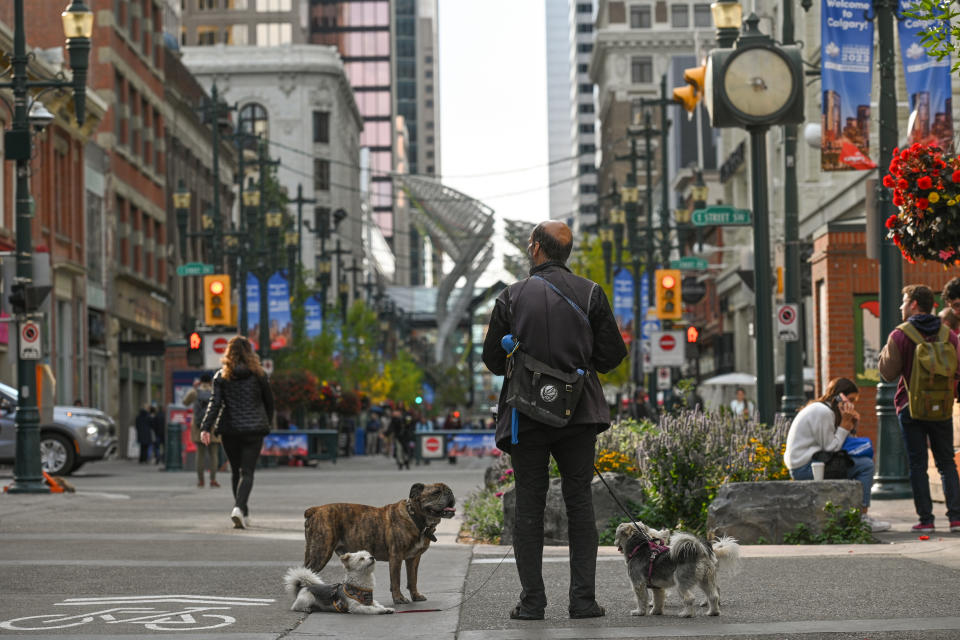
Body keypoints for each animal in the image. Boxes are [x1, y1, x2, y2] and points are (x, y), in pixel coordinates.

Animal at [308, 482, 458, 604]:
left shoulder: (413, 558)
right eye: (436, 492)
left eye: (449, 490)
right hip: (320, 554)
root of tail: (315, 510)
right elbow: (396, 580)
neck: (415, 517)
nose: (450, 493)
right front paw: (399, 599)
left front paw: (415, 595)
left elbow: (412, 579)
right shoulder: (396, 557)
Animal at [616, 524, 744, 616]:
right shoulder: (657, 587)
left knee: (689, 598)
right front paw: (656, 612)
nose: (616, 544)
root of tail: (699, 552)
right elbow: (658, 600)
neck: (639, 548)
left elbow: (641, 599)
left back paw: (686, 614)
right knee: (714, 596)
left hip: (681, 583)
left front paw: (639, 612)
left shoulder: (638, 584)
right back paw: (713, 612)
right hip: (705, 580)